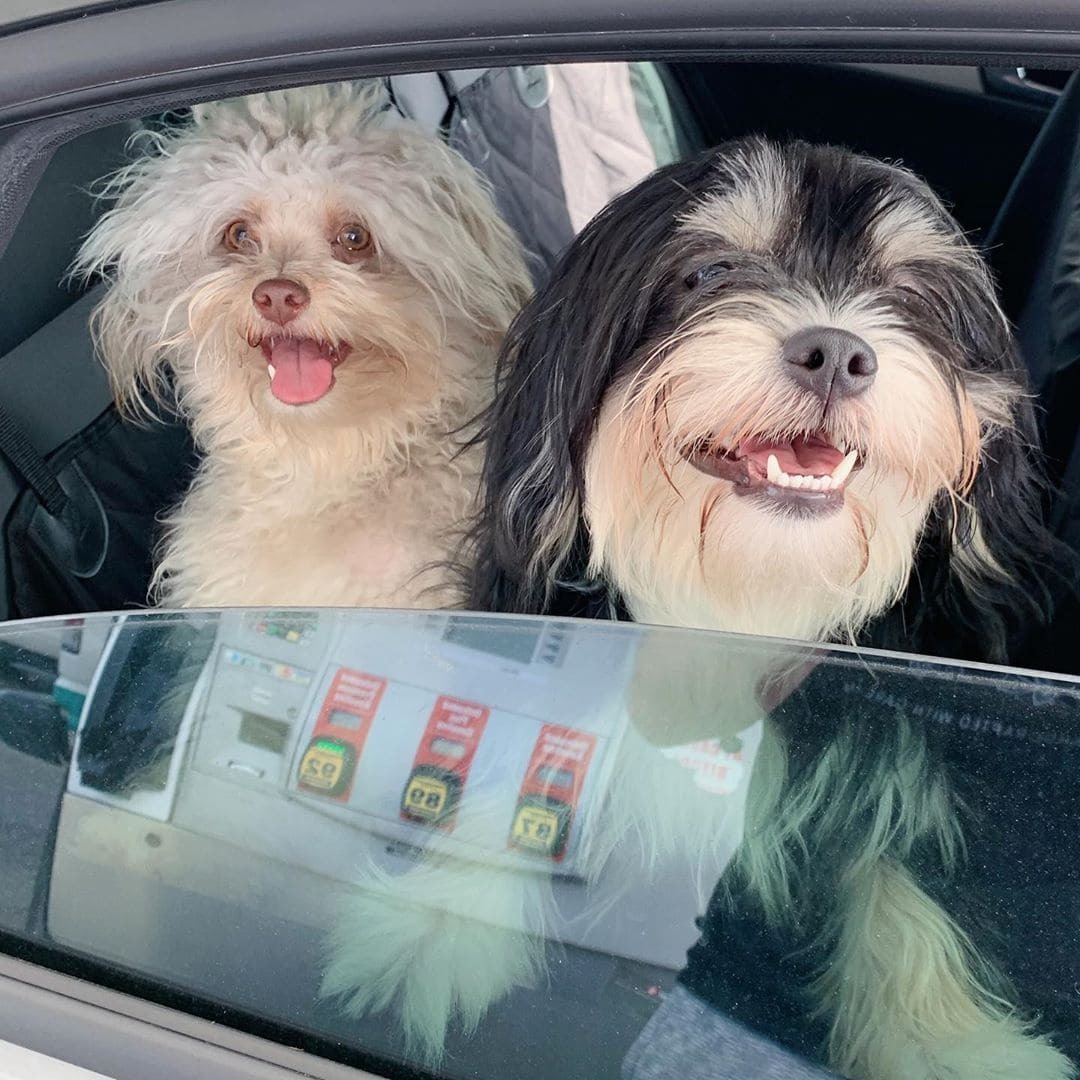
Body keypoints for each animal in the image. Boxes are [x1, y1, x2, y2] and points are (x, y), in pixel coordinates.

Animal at [321, 141, 1071, 1080]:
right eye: (709, 272)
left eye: (907, 294)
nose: (836, 352)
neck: (741, 597)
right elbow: (536, 751)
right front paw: (441, 914)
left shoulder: (914, 725)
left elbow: (900, 873)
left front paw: (950, 1044)